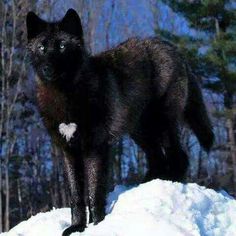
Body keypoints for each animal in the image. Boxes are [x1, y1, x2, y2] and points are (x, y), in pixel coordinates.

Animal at [25, 8, 214, 235]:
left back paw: (172, 182)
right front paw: (77, 227)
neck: (67, 96)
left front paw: (97, 224)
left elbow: (94, 192)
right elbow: (76, 196)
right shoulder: (69, 151)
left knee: (179, 157)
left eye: (62, 46)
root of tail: (172, 48)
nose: (47, 68)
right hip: (140, 132)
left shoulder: (95, 148)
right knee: (158, 159)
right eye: (42, 47)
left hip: (164, 125)